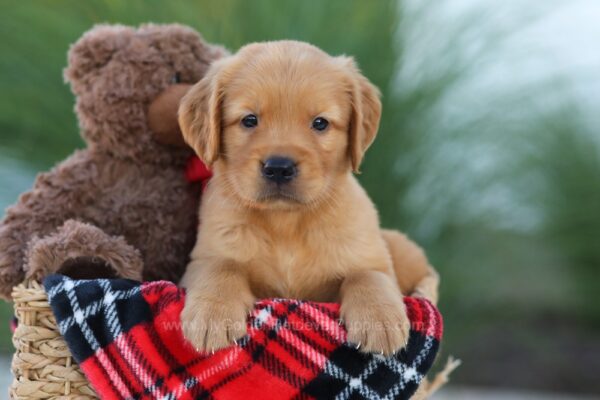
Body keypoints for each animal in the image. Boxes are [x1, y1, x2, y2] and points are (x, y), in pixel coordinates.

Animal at [177, 39, 436, 354]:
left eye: (320, 123)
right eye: (249, 120)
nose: (279, 167)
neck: (286, 222)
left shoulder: (372, 258)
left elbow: (368, 275)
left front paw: (379, 319)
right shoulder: (203, 256)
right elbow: (221, 266)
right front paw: (212, 314)